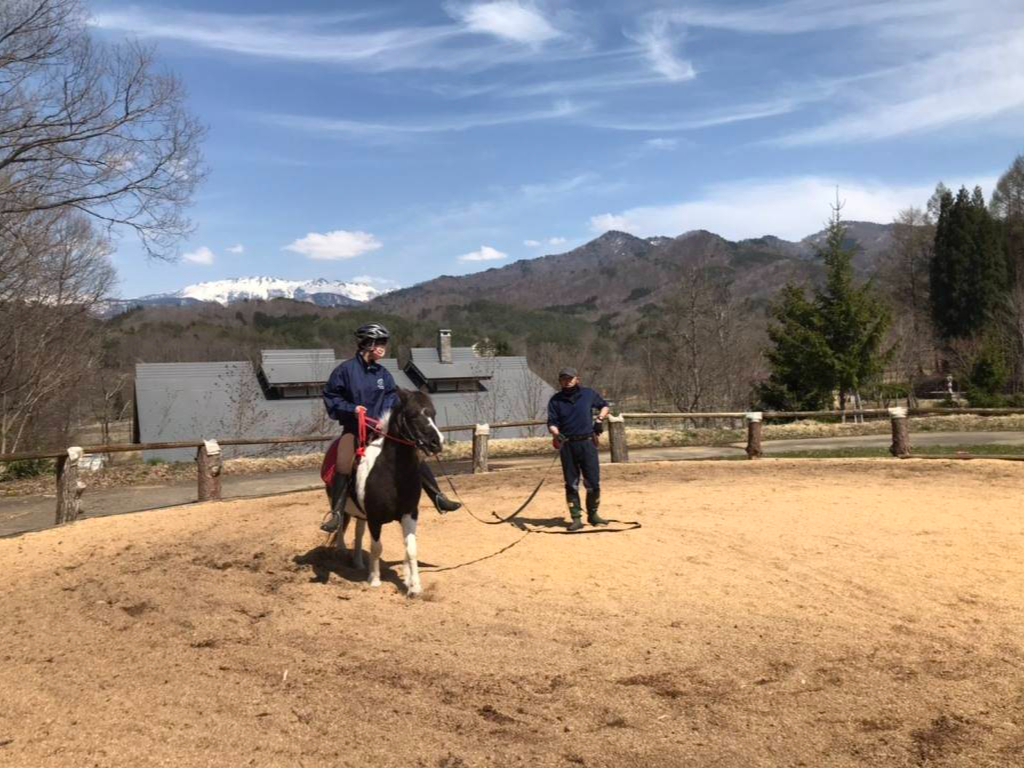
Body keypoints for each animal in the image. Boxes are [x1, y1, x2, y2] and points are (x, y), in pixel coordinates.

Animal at [329, 389, 445, 596]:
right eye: (412, 415)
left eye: (433, 413)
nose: (437, 443)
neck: (391, 475)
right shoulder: (375, 519)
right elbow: (377, 547)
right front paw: (375, 579)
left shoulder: (409, 514)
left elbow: (411, 548)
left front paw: (414, 586)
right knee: (341, 522)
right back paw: (340, 549)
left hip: (362, 514)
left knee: (358, 533)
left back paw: (358, 563)